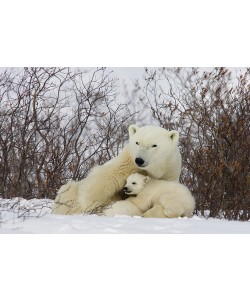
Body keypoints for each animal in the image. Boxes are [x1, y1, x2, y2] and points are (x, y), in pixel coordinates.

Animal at [52, 124, 182, 216]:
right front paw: (88, 208)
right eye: (137, 142)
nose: (139, 160)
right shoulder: (126, 162)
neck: (152, 169)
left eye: (154, 145)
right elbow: (100, 183)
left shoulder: (169, 171)